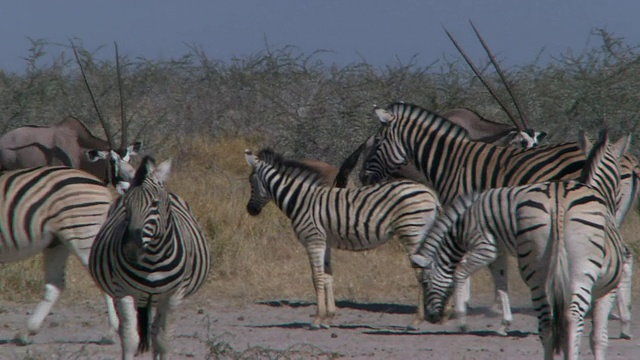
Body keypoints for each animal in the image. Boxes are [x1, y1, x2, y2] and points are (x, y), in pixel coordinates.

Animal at [0, 166, 120, 346]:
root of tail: (102, 185)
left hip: (83, 233)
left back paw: (112, 332)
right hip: (57, 243)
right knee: (55, 284)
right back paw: (26, 332)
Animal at [89, 157, 210, 360]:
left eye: (155, 203)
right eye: (126, 205)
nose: (130, 249)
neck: (153, 258)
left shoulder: (173, 296)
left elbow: (163, 341)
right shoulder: (123, 292)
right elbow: (130, 339)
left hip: (158, 300)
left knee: (155, 334)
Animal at [242, 148, 442, 330]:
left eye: (251, 182)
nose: (250, 210)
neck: (300, 200)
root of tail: (429, 192)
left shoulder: (313, 241)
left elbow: (316, 277)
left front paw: (316, 319)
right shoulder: (325, 243)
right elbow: (328, 277)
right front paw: (328, 317)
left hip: (412, 232)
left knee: (421, 272)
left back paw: (417, 320)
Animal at [352, 100, 636, 334]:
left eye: (377, 142)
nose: (363, 177)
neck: (452, 162)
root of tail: (626, 161)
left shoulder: (462, 216)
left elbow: (460, 264)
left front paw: (457, 309)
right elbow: (495, 269)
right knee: (622, 256)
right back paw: (619, 319)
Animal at [410, 129, 632, 358]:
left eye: (425, 283)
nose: (432, 318)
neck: (464, 220)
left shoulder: (486, 248)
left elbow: (466, 273)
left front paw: (465, 317)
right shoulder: (495, 251)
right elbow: (500, 282)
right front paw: (500, 322)